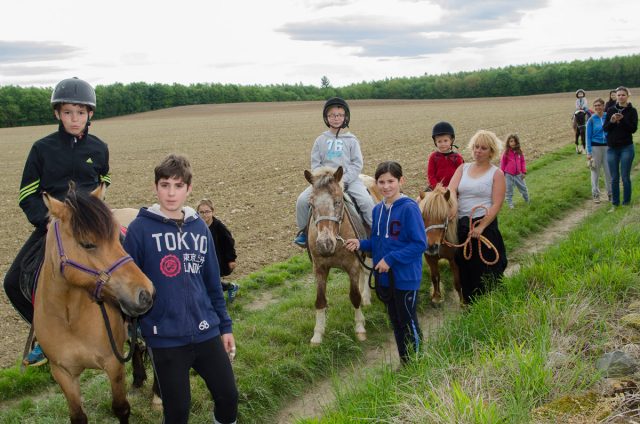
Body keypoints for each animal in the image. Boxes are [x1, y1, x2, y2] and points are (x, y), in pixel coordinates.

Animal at [34, 186, 155, 424]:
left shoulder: (113, 364)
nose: (145, 293)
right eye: (88, 244)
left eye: (117, 238)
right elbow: (78, 416)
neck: (69, 317)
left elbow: (121, 408)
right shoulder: (62, 373)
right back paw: (138, 379)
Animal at [304, 166, 380, 344]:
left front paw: (359, 328)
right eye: (311, 204)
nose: (324, 244)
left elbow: (354, 296)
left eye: (337, 202)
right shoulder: (319, 269)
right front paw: (318, 334)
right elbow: (320, 300)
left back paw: (366, 298)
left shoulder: (352, 266)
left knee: (367, 270)